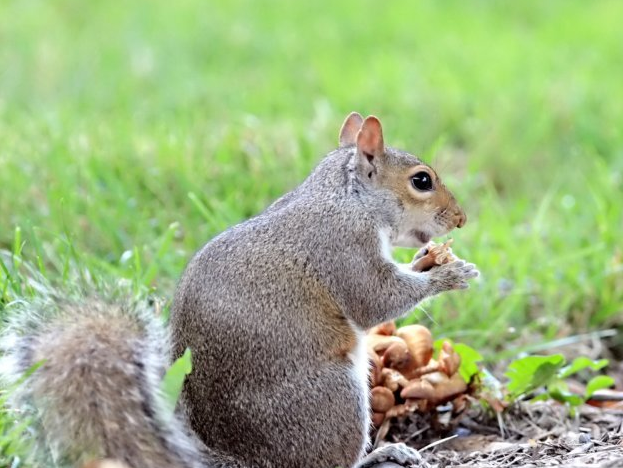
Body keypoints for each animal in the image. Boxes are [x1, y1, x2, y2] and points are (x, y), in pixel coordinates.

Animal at [0, 113, 480, 468]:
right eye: (421, 181)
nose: (460, 219)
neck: (346, 199)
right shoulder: (343, 248)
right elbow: (375, 300)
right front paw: (448, 277)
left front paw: (429, 260)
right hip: (335, 400)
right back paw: (379, 453)